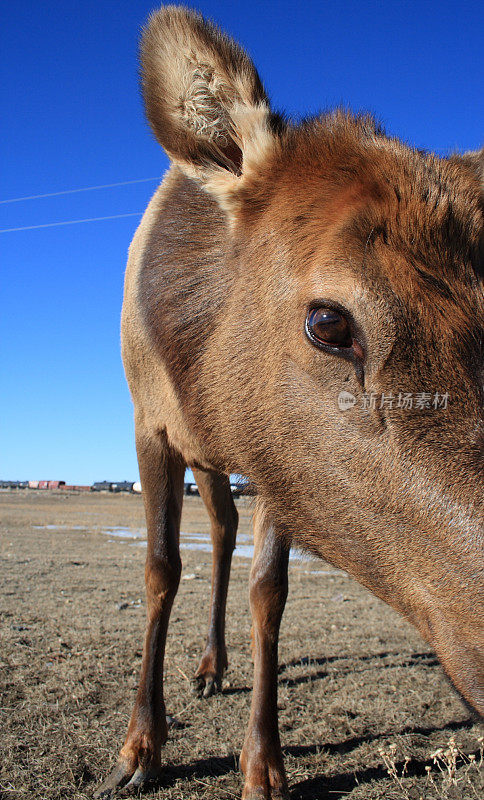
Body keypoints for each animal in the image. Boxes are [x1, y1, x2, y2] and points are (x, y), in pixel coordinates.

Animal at [94, 4, 484, 792]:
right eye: (329, 322)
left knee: (222, 530)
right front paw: (139, 750)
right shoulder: (151, 424)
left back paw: (215, 664)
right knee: (212, 531)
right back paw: (203, 671)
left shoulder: (272, 457)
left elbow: (268, 591)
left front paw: (263, 765)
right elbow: (158, 570)